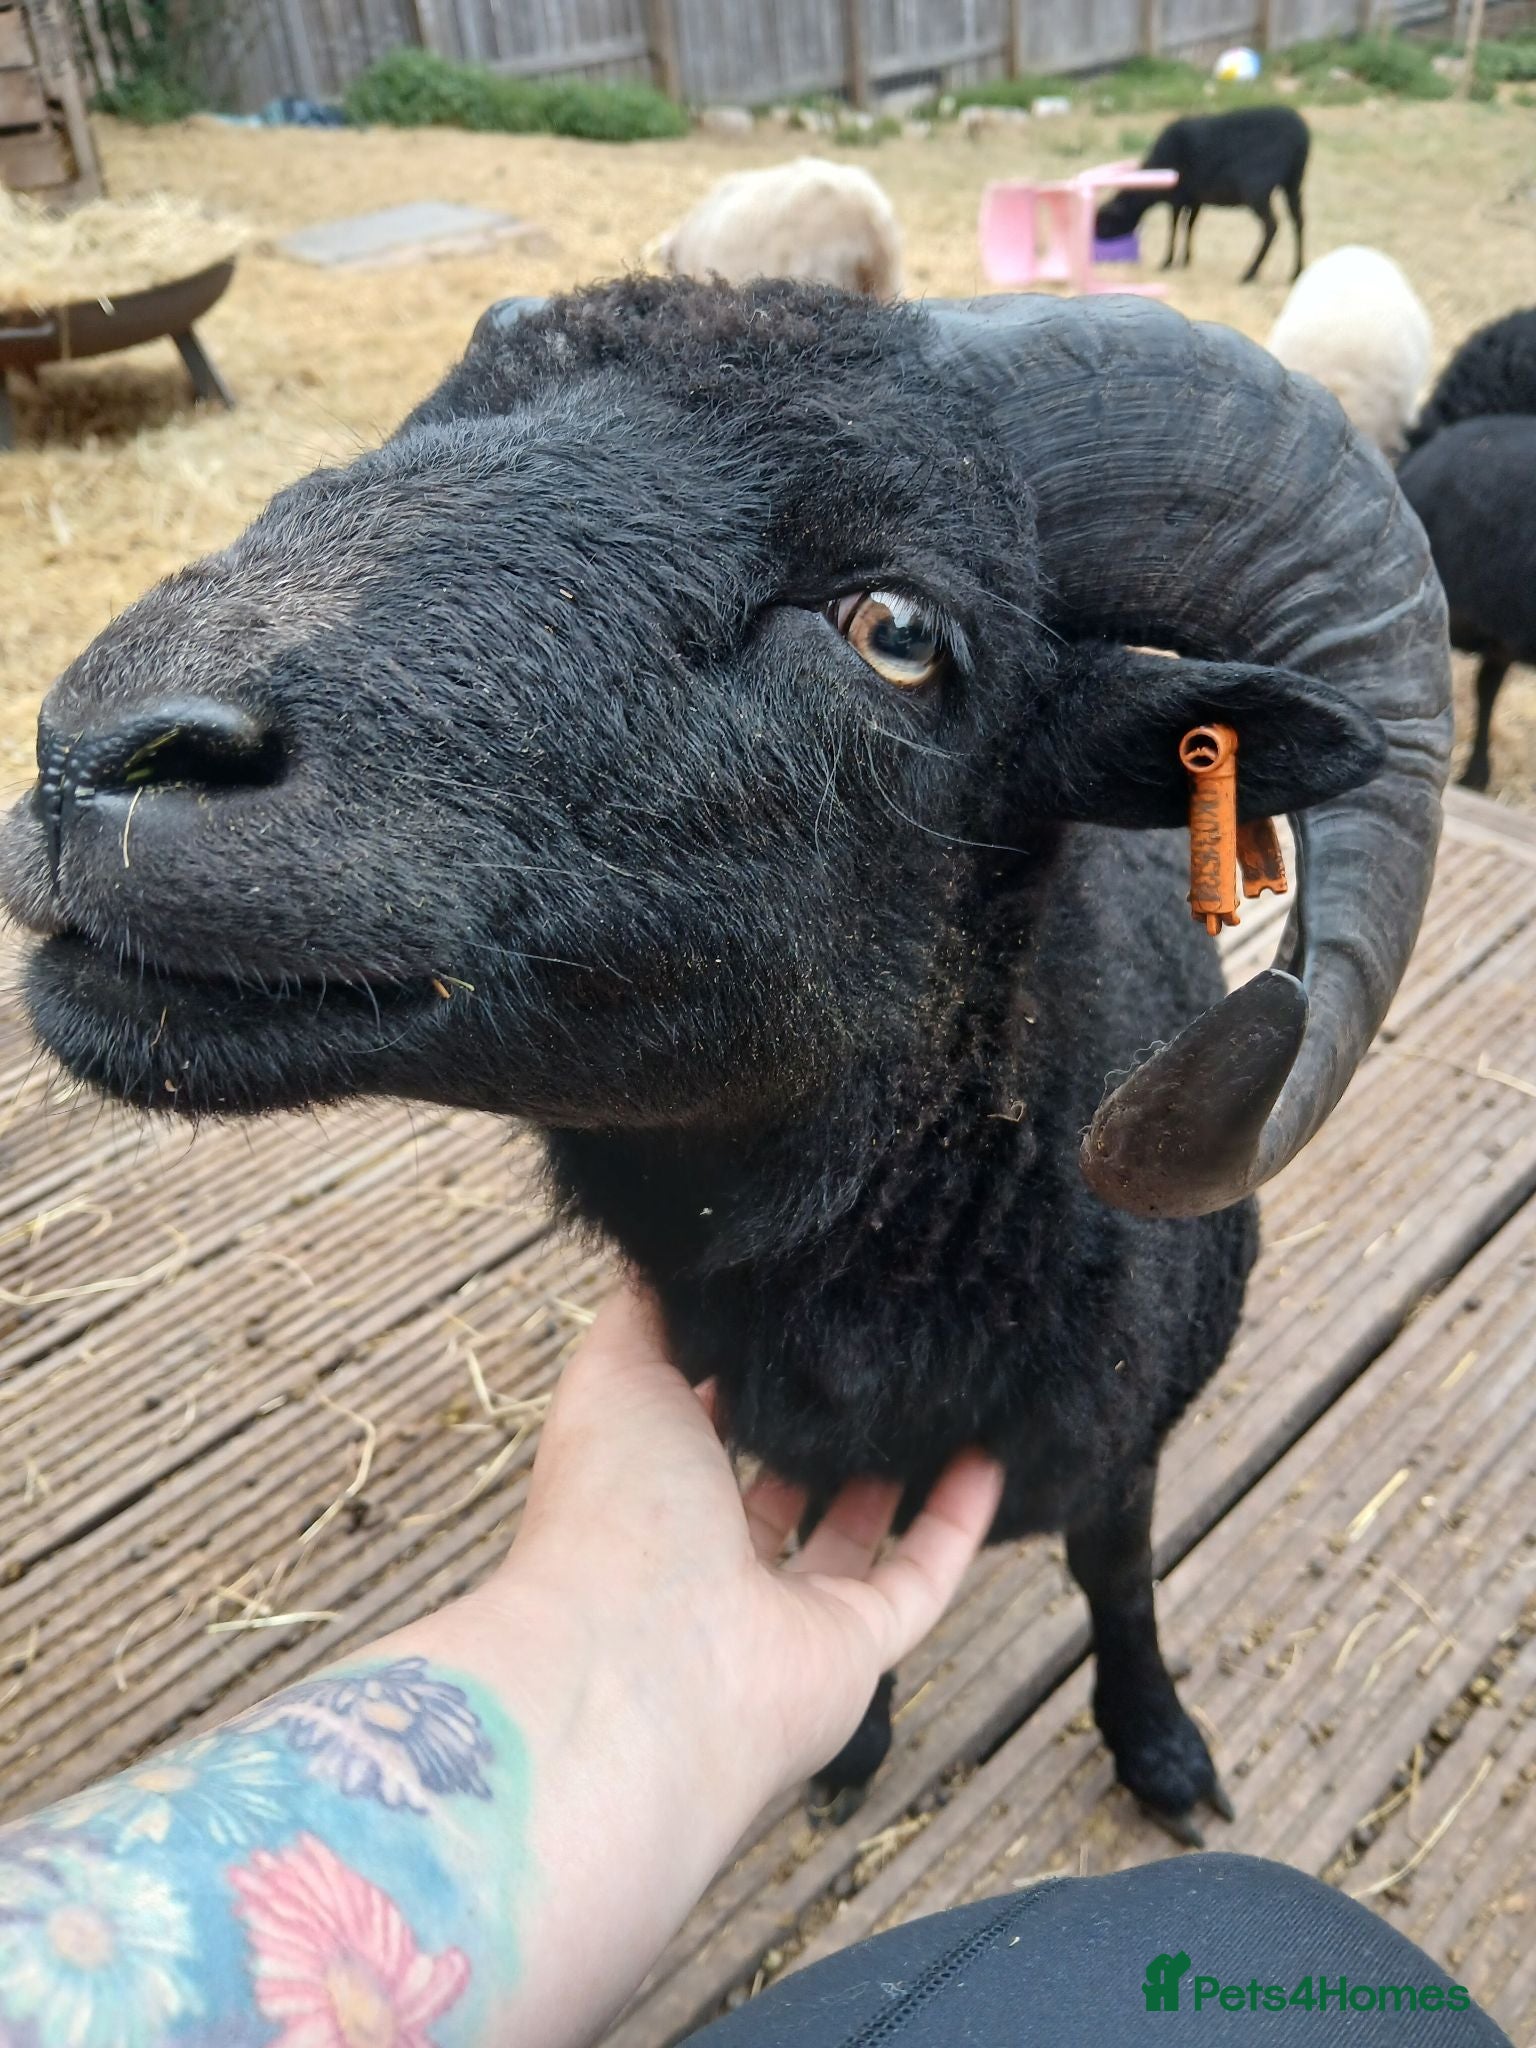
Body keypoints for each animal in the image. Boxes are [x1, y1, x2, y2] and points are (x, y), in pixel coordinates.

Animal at [0, 280, 1450, 1839]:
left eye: (897, 629)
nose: (99, 757)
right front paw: (852, 1733)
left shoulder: (1129, 1442)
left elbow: (1117, 1575)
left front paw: (1161, 1747)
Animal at [1094, 106, 1309, 282]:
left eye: (1105, 223)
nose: (1094, 238)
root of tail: (1301, 135)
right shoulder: (1195, 199)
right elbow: (1190, 226)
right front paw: (1186, 260)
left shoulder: (1177, 198)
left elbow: (1174, 227)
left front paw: (1167, 262)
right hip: (1293, 182)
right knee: (1298, 221)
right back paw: (1296, 272)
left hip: (1257, 188)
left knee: (1272, 226)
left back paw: (1250, 273)